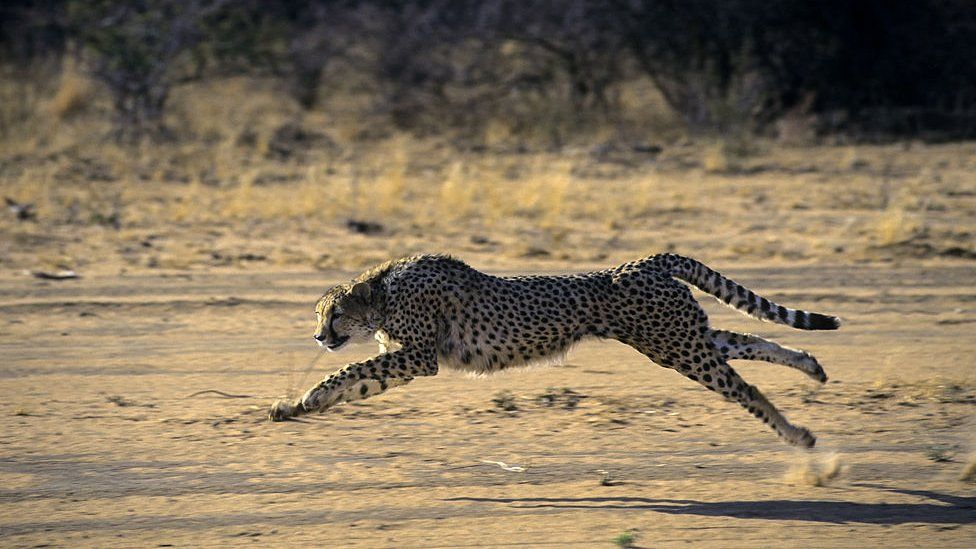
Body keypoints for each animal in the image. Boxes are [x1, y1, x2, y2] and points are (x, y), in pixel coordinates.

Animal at [268, 255, 840, 448]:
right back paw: (811, 366)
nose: (318, 336)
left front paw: (307, 395)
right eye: (318, 315)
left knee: (743, 387)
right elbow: (358, 380)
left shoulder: (419, 356)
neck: (382, 292)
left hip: (677, 345)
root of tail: (645, 261)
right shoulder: (407, 359)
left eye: (333, 314)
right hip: (678, 337)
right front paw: (294, 407)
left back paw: (798, 434)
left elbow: (350, 369)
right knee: (747, 341)